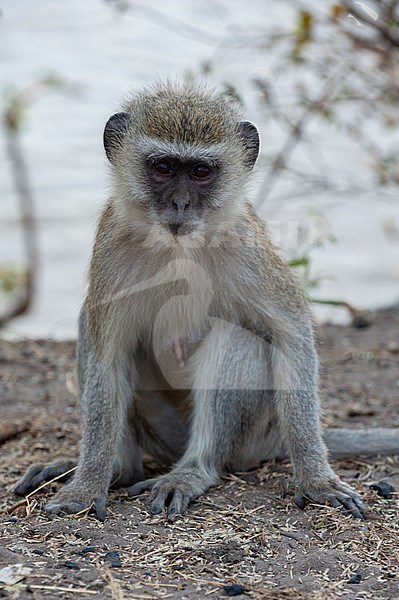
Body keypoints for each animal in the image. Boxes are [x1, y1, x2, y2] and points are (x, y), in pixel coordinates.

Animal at [14, 79, 398, 520]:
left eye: (200, 171)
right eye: (163, 167)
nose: (180, 204)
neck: (178, 246)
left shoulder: (248, 248)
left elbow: (292, 332)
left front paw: (316, 478)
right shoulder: (112, 244)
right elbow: (106, 356)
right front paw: (88, 483)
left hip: (251, 437)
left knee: (235, 339)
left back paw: (193, 470)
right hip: (164, 432)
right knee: (90, 326)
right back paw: (122, 468)